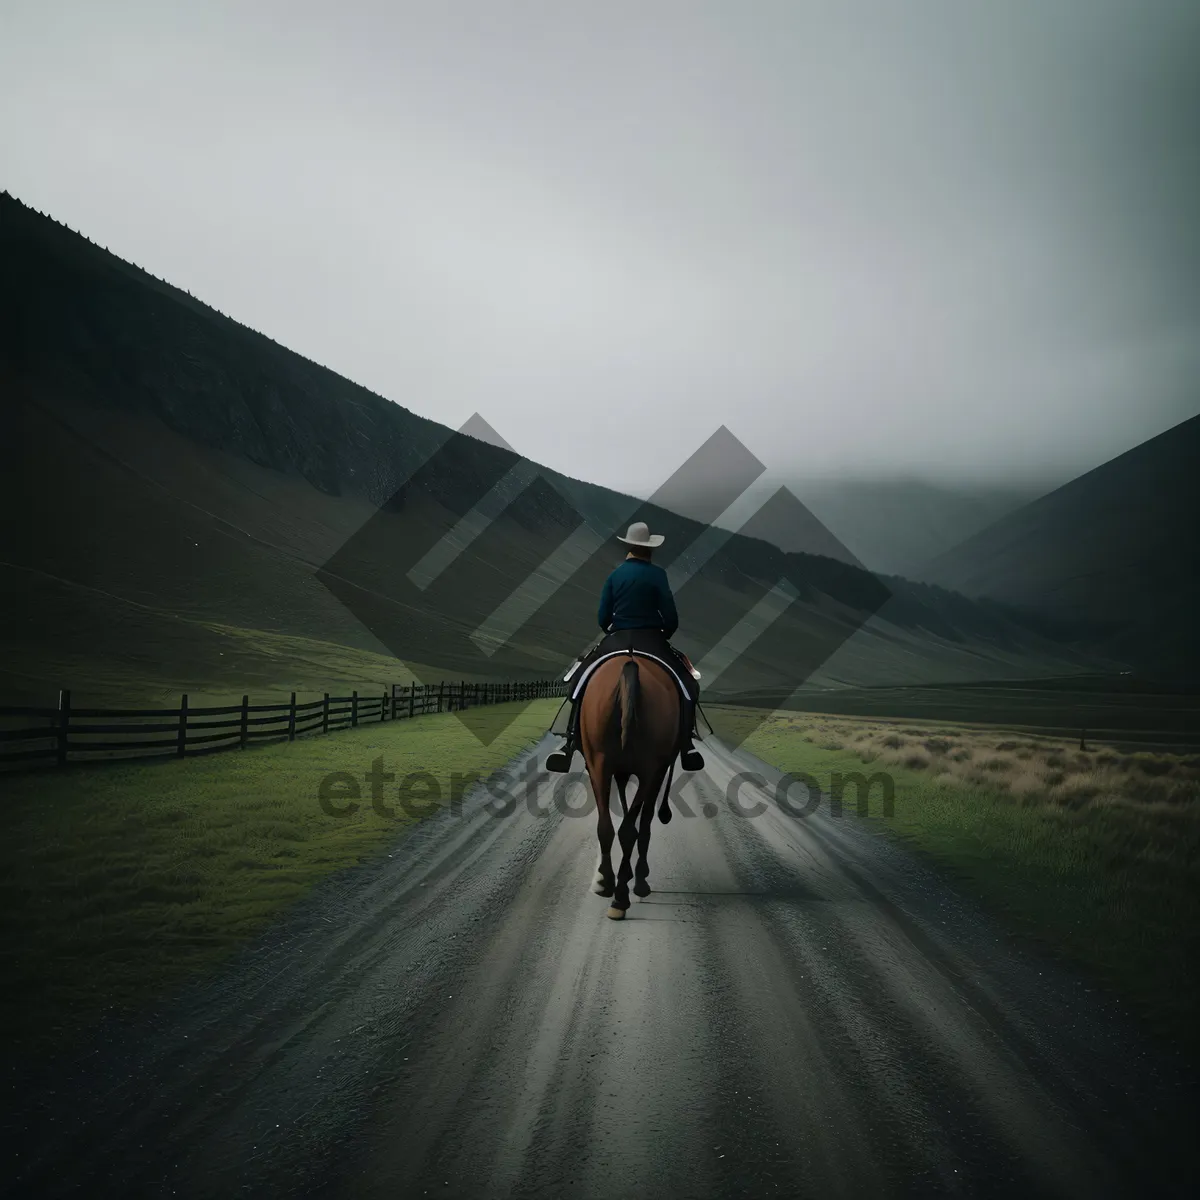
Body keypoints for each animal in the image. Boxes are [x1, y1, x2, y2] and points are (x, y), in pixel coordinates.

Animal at [583, 657, 686, 916]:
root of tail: (629, 663)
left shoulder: (615, 769)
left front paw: (623, 875)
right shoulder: (655, 771)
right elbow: (643, 819)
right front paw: (638, 876)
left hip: (599, 764)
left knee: (609, 827)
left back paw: (610, 887)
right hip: (647, 771)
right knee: (631, 827)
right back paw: (622, 894)